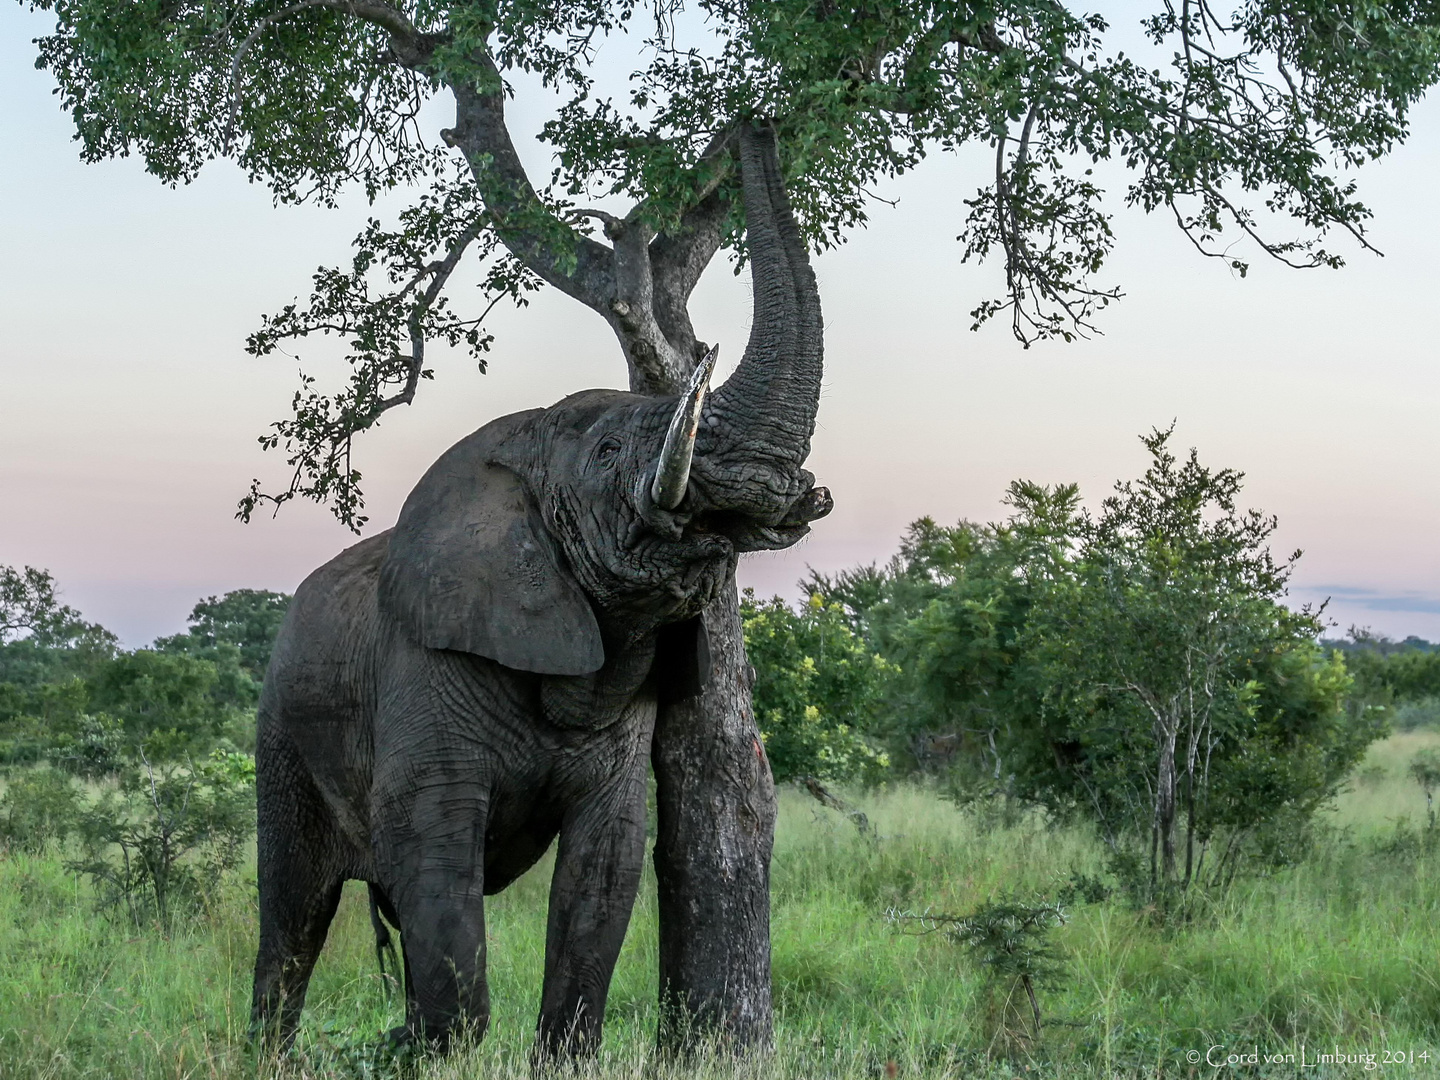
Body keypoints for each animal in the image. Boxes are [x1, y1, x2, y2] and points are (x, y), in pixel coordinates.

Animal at [252, 124, 829, 1059]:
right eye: (606, 455)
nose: (755, 122)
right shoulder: (425, 662)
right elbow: (432, 849)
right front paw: (427, 1052)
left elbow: (606, 863)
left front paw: (550, 1055)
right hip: (282, 727)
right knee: (293, 911)